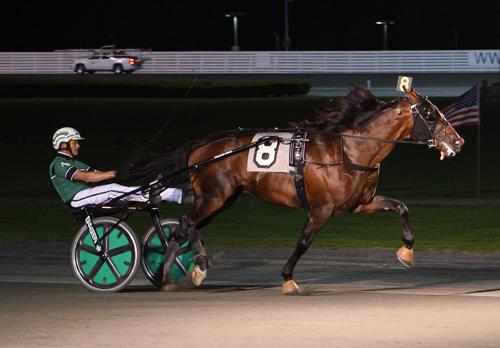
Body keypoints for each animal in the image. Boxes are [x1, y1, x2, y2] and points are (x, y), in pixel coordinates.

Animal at [160, 86, 464, 294]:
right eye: (430, 115)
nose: (458, 141)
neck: (349, 150)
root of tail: (203, 144)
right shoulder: (322, 208)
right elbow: (304, 241)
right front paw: (288, 278)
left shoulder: (360, 203)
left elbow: (401, 206)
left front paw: (406, 252)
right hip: (215, 196)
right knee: (184, 224)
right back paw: (166, 273)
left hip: (223, 198)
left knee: (190, 226)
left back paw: (197, 267)